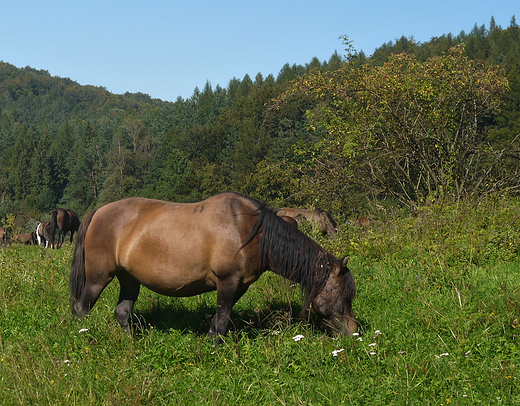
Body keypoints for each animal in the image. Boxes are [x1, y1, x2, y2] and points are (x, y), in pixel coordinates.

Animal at [70, 192, 358, 338]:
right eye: (342, 295)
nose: (353, 332)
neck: (250, 231)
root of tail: (97, 212)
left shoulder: (239, 285)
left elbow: (221, 317)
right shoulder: (227, 281)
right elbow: (221, 319)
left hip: (130, 279)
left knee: (122, 312)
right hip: (98, 278)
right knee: (81, 309)